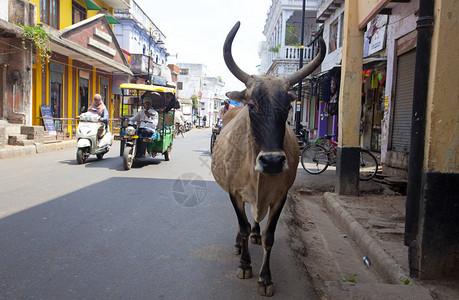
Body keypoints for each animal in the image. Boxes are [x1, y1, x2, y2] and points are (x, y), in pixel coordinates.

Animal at [212, 22, 328, 296]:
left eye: (287, 107)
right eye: (252, 105)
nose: (273, 162)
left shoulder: (280, 196)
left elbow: (269, 236)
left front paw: (265, 278)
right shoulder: (234, 193)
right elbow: (242, 226)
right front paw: (245, 264)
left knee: (256, 224)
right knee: (243, 224)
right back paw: (239, 244)